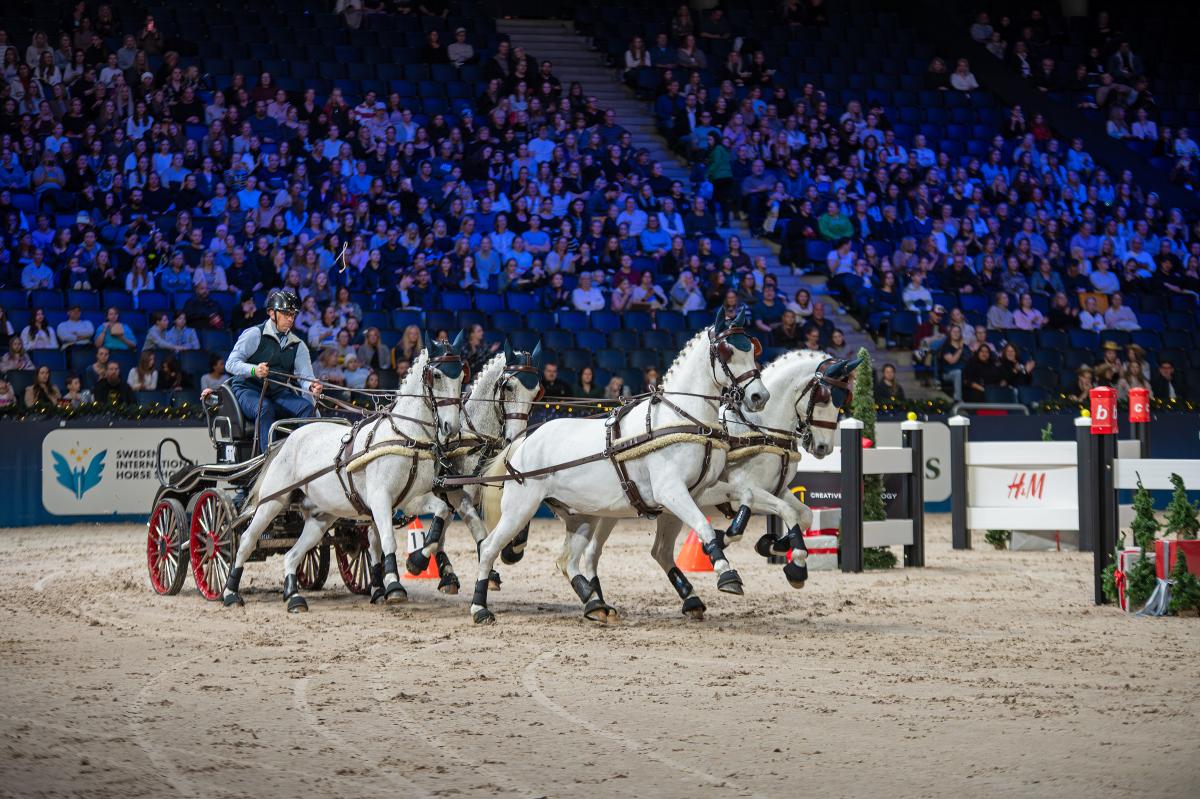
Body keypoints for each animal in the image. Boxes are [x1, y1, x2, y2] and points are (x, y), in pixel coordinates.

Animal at [221, 337, 466, 612]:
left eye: (461, 375)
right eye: (436, 375)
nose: (451, 427)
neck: (405, 436)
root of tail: (286, 439)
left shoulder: (410, 500)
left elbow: (441, 513)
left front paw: (417, 562)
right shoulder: (380, 499)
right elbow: (387, 540)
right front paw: (394, 586)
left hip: (319, 517)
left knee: (292, 555)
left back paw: (293, 596)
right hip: (272, 502)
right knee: (246, 541)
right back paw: (230, 592)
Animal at [396, 342, 545, 596]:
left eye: (536, 393)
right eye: (509, 387)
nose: (516, 440)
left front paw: (509, 553)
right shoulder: (450, 493)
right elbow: (454, 528)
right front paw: (418, 561)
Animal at [470, 308, 769, 624]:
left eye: (752, 348)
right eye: (728, 351)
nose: (759, 397)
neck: (679, 419)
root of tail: (524, 439)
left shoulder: (695, 492)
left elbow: (742, 496)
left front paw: (733, 533)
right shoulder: (671, 492)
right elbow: (702, 525)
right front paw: (727, 575)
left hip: (581, 516)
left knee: (568, 560)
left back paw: (595, 603)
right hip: (520, 509)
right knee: (488, 548)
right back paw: (480, 608)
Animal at [555, 350, 859, 620]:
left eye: (843, 400)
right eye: (824, 397)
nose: (823, 447)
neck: (758, 429)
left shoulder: (778, 490)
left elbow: (802, 514)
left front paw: (773, 546)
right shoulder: (732, 491)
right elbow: (767, 513)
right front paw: (732, 541)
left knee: (639, 551)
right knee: (592, 552)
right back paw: (596, 600)